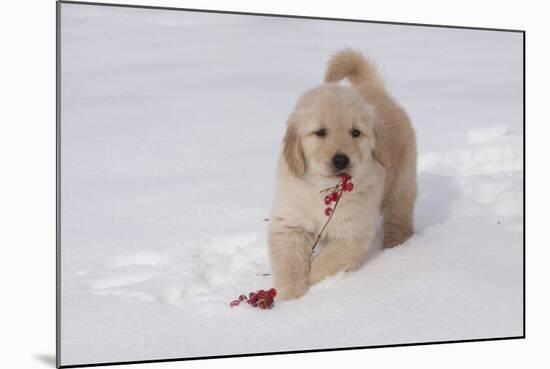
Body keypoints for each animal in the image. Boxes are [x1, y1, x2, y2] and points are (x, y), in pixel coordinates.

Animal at [268, 48, 418, 300]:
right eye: (320, 132)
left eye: (355, 132)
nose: (341, 160)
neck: (322, 187)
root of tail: (375, 89)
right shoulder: (290, 223)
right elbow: (290, 263)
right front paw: (292, 296)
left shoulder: (352, 232)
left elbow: (327, 262)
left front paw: (312, 283)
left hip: (401, 183)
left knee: (399, 215)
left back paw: (394, 244)